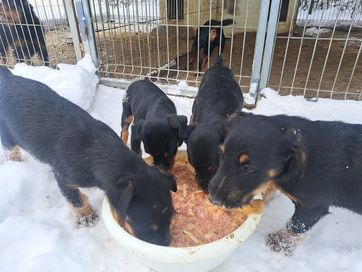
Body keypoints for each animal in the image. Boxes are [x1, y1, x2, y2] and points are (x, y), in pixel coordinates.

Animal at [0, 68, 177, 246]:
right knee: (10, 148)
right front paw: (86, 217)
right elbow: (75, 198)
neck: (98, 150)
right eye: (149, 228)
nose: (166, 245)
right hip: (6, 132)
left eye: (171, 220)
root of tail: (6, 77)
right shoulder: (64, 176)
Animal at [208, 112, 362, 255]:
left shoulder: (313, 208)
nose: (214, 200)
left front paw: (280, 243)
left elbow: (294, 227)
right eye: (221, 154)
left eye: (248, 168)